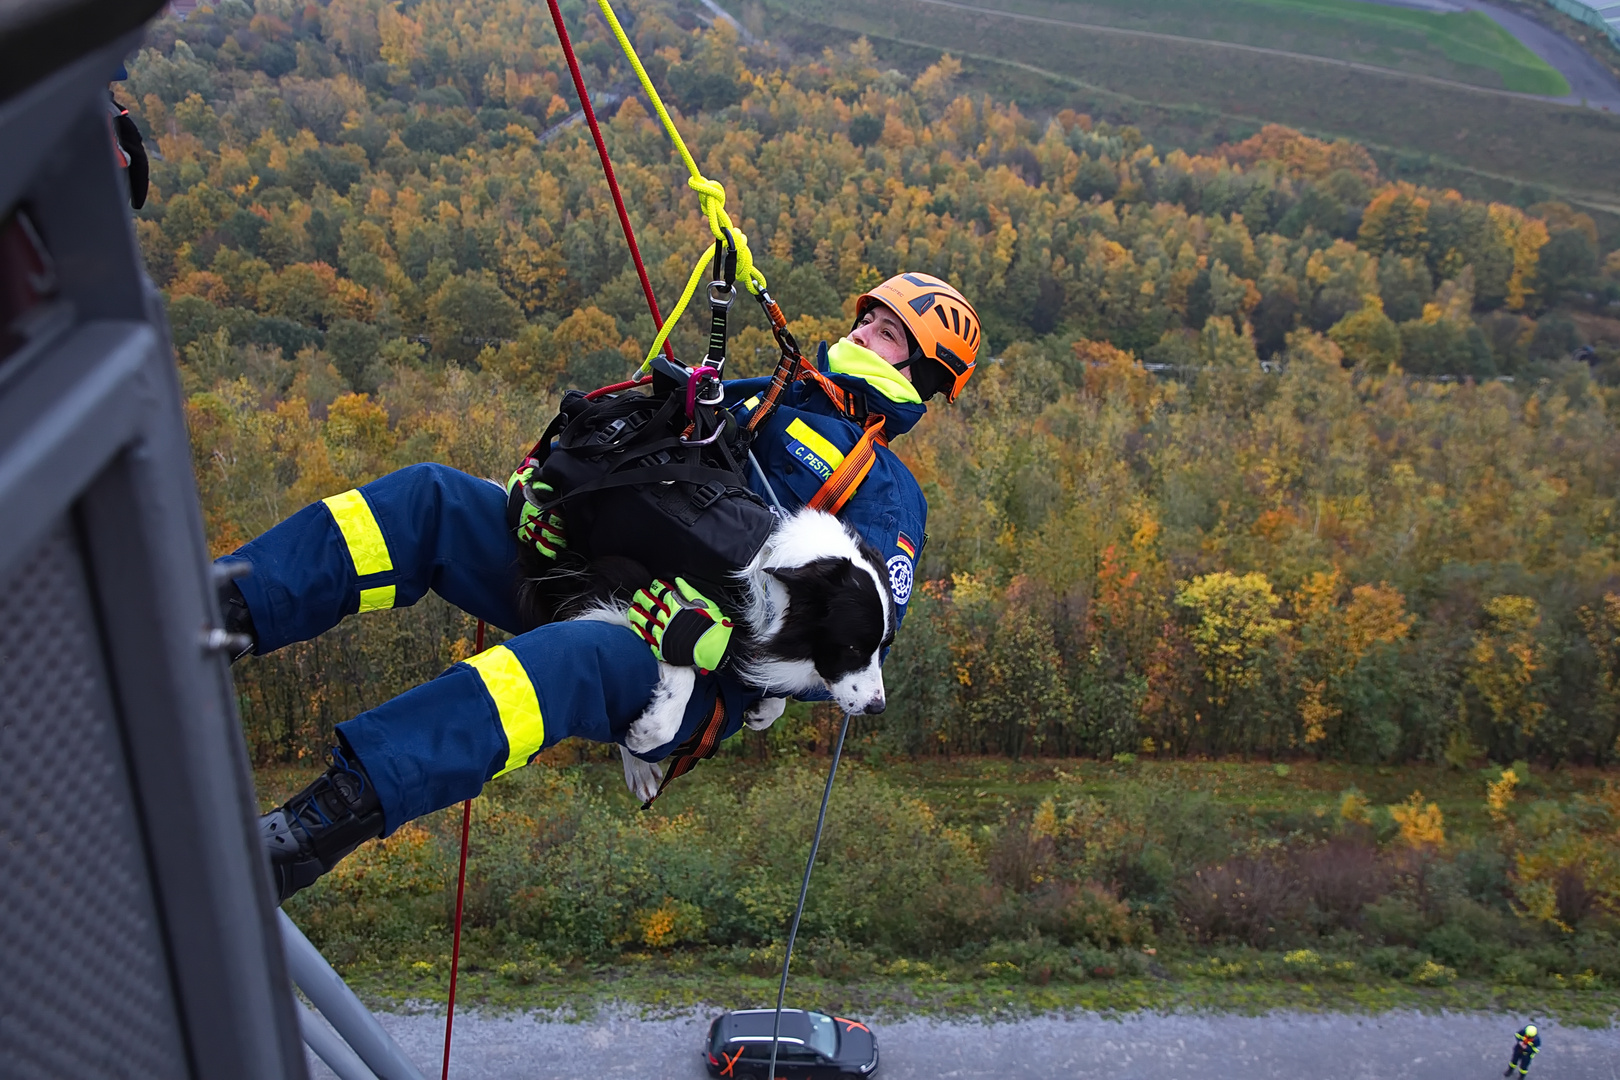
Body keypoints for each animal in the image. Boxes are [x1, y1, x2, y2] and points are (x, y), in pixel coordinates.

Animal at [557, 508, 900, 803]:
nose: (878, 707)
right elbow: (679, 665)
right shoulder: (622, 588)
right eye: (853, 648)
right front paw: (650, 733)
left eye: (884, 646)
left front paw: (765, 710)